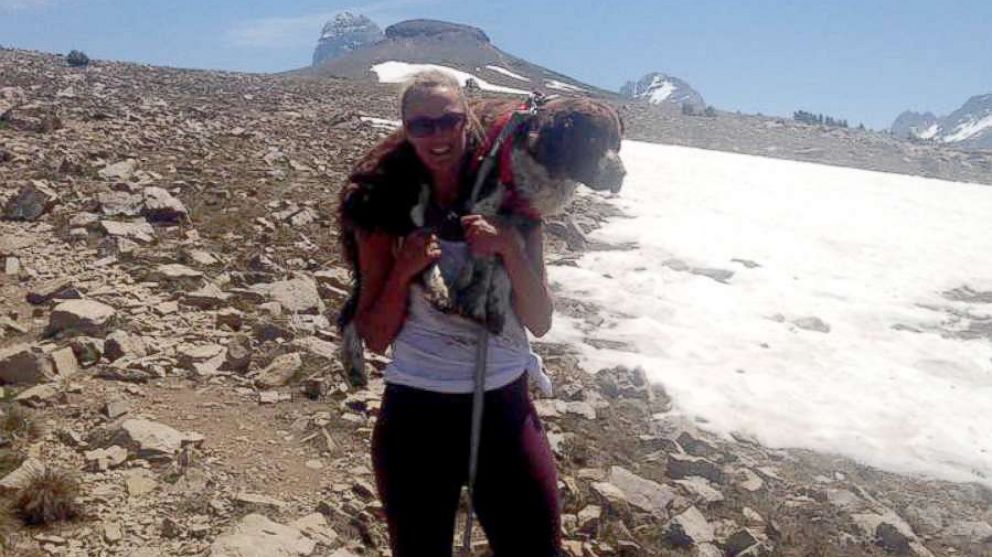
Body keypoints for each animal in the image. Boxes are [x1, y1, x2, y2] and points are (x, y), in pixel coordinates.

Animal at [338, 95, 624, 384]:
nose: (620, 175)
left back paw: (356, 364)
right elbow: (485, 266)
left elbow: (503, 269)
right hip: (409, 196)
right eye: (592, 139)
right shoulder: (483, 208)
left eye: (617, 143)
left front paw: (493, 307)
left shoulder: (519, 223)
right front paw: (475, 301)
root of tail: (353, 181)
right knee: (416, 259)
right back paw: (436, 292)